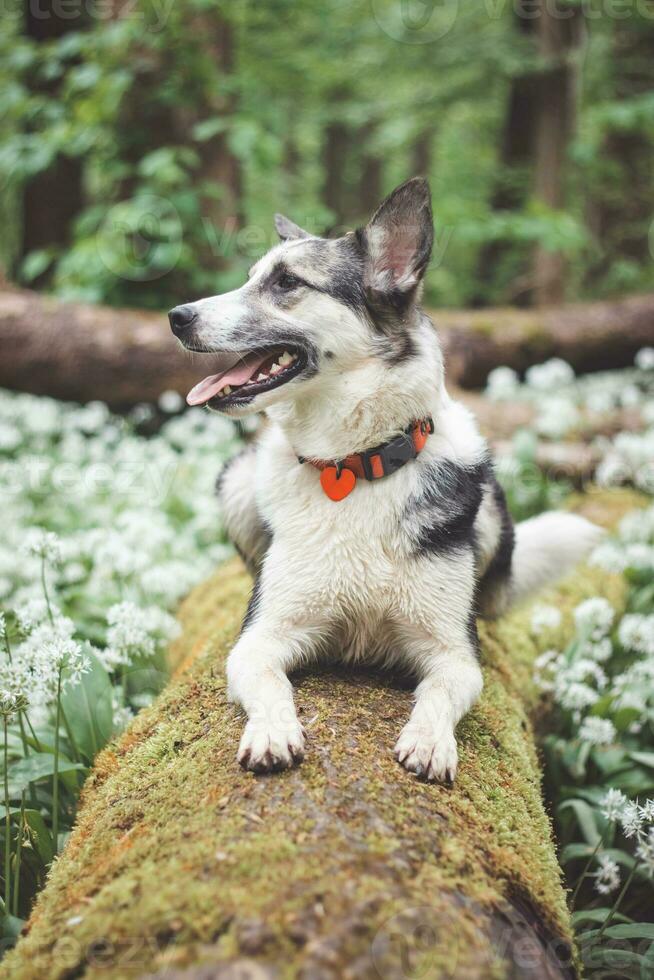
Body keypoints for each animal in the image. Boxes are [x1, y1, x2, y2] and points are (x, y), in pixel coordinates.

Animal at [170, 180, 604, 784]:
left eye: (286, 282)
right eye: (252, 276)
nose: (176, 316)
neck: (355, 464)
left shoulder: (454, 654)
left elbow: (440, 692)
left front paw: (430, 740)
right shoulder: (261, 638)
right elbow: (269, 682)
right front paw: (274, 730)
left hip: (493, 509)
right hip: (237, 481)